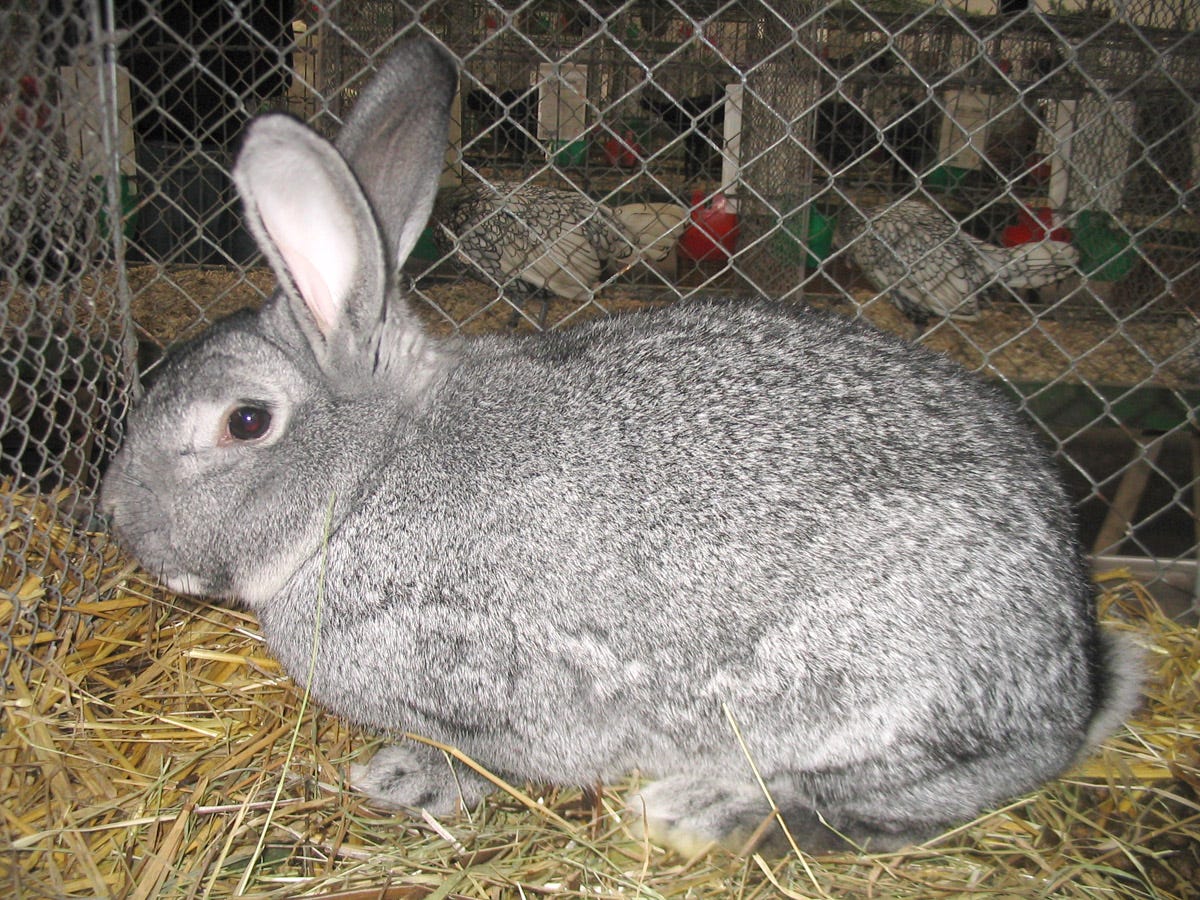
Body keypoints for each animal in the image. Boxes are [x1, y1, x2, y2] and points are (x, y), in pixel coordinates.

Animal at [101, 37, 1142, 857]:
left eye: (244, 422)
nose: (114, 518)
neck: (367, 483)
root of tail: (1070, 677)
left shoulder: (499, 686)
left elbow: (493, 760)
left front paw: (405, 778)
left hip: (877, 692)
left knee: (892, 804)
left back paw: (700, 810)